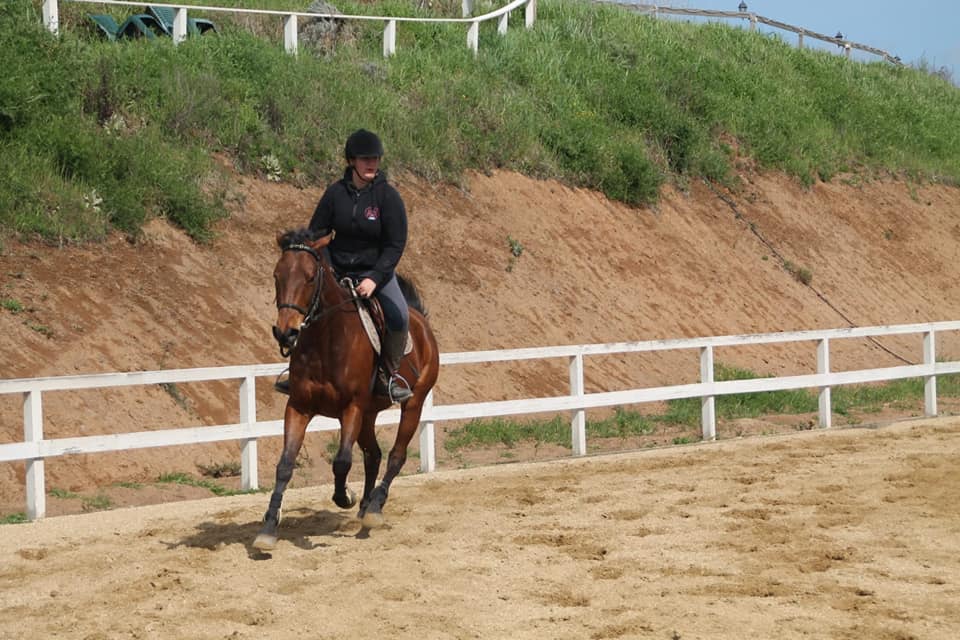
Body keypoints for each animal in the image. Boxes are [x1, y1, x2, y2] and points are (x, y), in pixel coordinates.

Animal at [253, 227, 440, 551]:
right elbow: (285, 465)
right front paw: (268, 528)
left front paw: (344, 497)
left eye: (310, 277)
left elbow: (341, 461)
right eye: (277, 275)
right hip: (369, 413)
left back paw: (374, 508)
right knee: (373, 455)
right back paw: (365, 506)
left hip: (412, 404)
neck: (325, 340)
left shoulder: (351, 408)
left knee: (395, 455)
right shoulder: (299, 407)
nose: (286, 332)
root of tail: (420, 320)